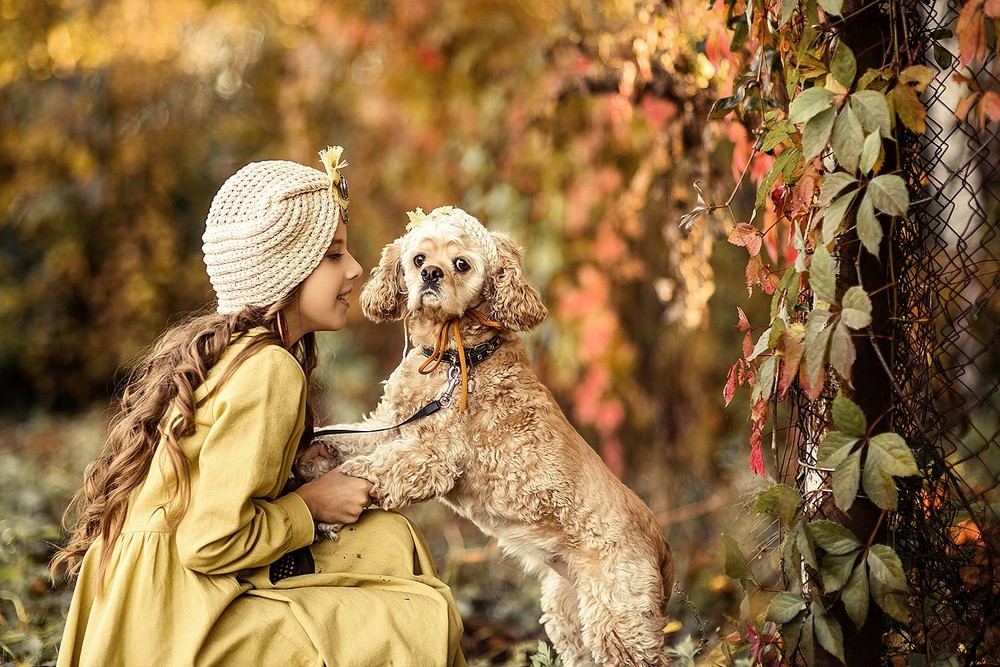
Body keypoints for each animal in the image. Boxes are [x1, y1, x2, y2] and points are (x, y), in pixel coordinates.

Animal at [296, 206, 672, 664]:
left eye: (461, 264)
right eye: (419, 259)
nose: (432, 274)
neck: (454, 359)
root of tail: (659, 542)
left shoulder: (432, 457)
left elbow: (370, 470)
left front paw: (325, 503)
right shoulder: (391, 425)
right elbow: (349, 440)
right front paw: (311, 456)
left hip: (618, 619)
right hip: (568, 609)